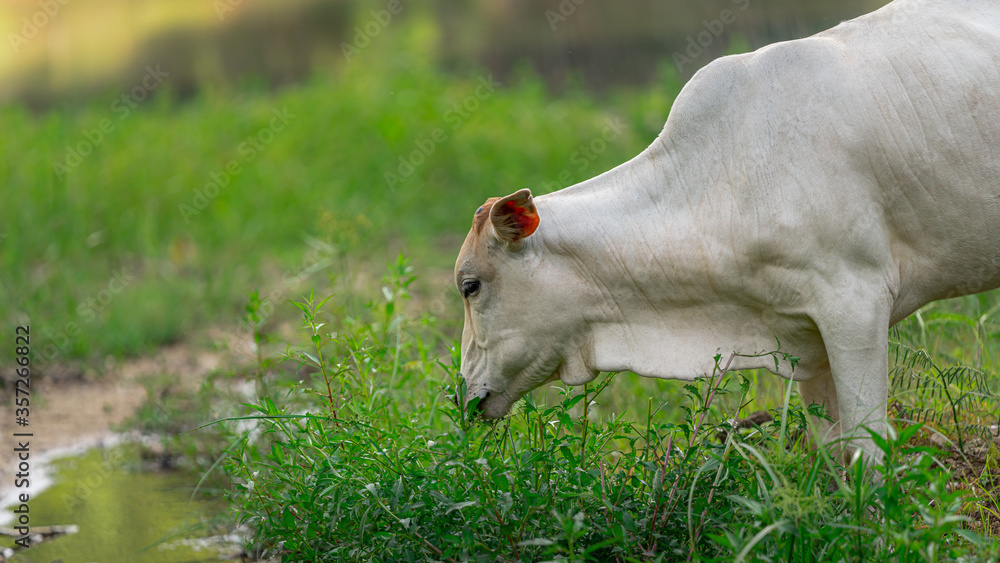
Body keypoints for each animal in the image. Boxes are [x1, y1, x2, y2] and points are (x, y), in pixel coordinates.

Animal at [454, 0, 1000, 459]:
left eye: (470, 286)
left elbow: (867, 452)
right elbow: (832, 454)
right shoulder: (809, 341)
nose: (462, 395)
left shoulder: (856, 302)